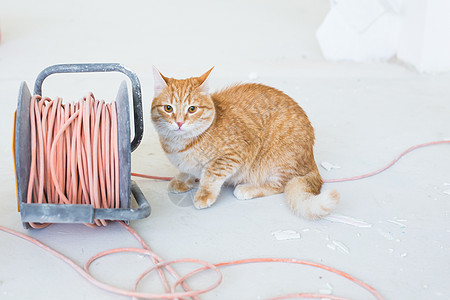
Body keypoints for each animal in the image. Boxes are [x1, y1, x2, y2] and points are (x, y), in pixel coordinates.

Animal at [151, 67, 338, 218]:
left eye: (192, 109)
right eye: (168, 108)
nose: (179, 122)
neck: (178, 146)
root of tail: (311, 159)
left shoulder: (234, 153)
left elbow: (211, 174)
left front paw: (204, 194)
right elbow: (188, 170)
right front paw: (184, 178)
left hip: (277, 161)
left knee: (280, 185)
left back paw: (248, 188)